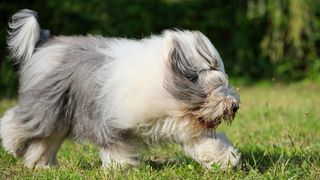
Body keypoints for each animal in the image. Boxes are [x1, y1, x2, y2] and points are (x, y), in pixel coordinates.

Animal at [0, 9, 240, 170]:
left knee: (45, 140)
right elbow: (117, 146)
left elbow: (206, 143)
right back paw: (12, 145)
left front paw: (227, 160)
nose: (234, 106)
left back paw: (40, 165)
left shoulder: (184, 125)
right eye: (214, 87)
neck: (165, 87)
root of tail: (47, 42)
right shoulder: (112, 119)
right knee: (17, 121)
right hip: (46, 104)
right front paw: (121, 167)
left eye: (225, 84)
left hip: (58, 114)